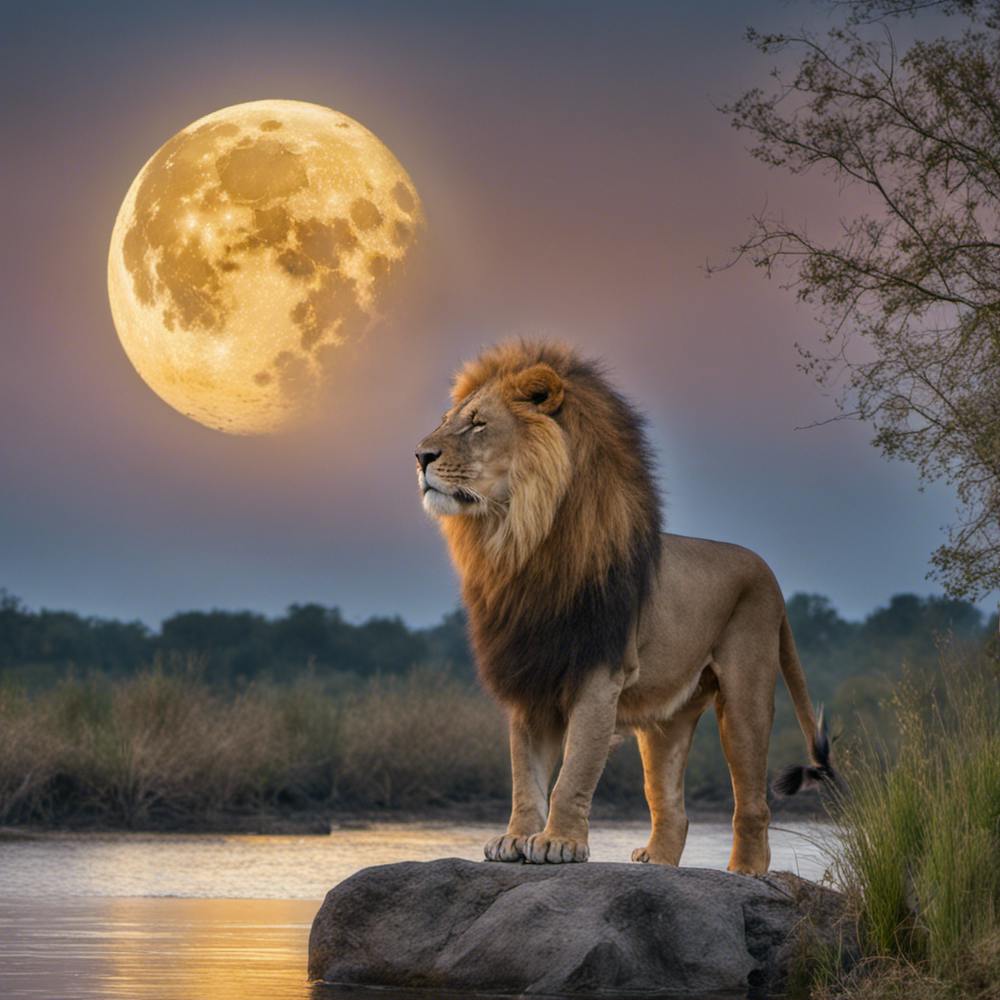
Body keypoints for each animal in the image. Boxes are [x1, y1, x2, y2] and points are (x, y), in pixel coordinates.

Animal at [415, 339, 834, 875]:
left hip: (746, 692)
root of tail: (768, 570)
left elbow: (574, 770)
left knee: (753, 800)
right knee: (670, 803)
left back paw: (745, 871)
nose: (420, 455)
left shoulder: (599, 675)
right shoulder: (531, 673)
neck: (519, 542)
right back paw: (657, 861)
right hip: (665, 720)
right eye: (448, 421)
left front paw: (558, 843)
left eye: (478, 424)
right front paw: (515, 838)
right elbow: (524, 774)